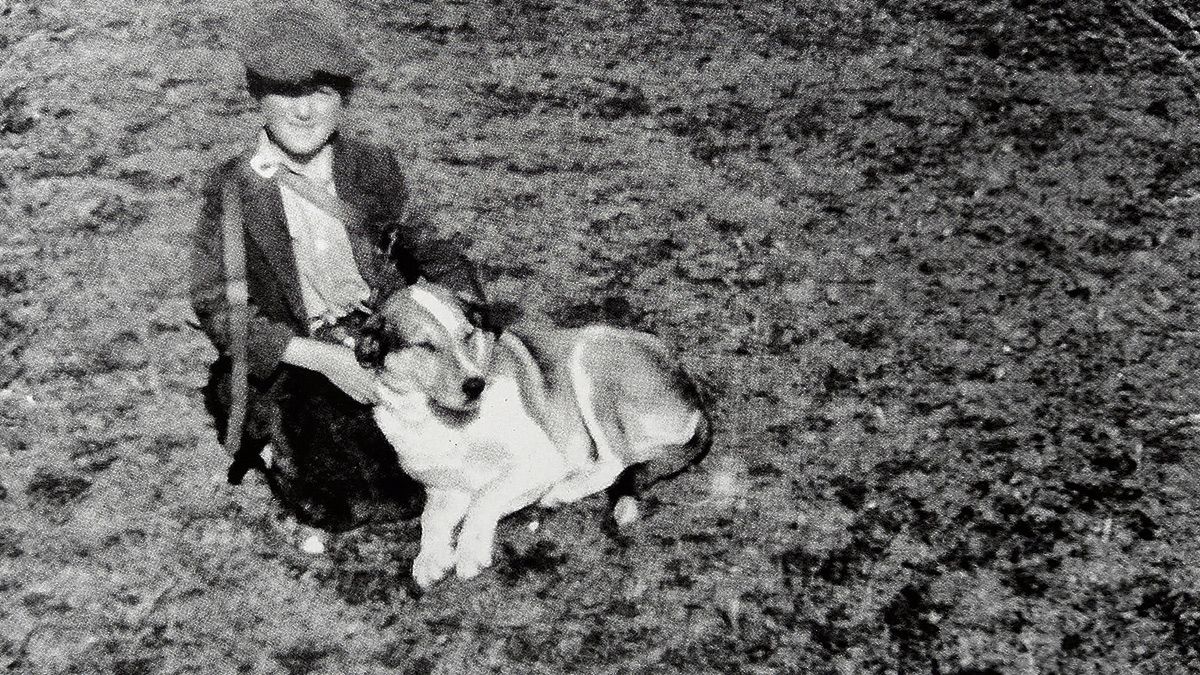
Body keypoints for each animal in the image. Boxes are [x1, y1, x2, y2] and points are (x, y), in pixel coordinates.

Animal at [355, 278, 710, 583]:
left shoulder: (540, 461)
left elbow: (484, 497)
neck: (444, 419)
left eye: (468, 336)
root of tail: (694, 398)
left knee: (616, 462)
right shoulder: (445, 489)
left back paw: (565, 490)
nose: (475, 386)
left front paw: (470, 550)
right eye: (425, 346)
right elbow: (430, 519)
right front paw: (430, 557)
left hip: (590, 355)